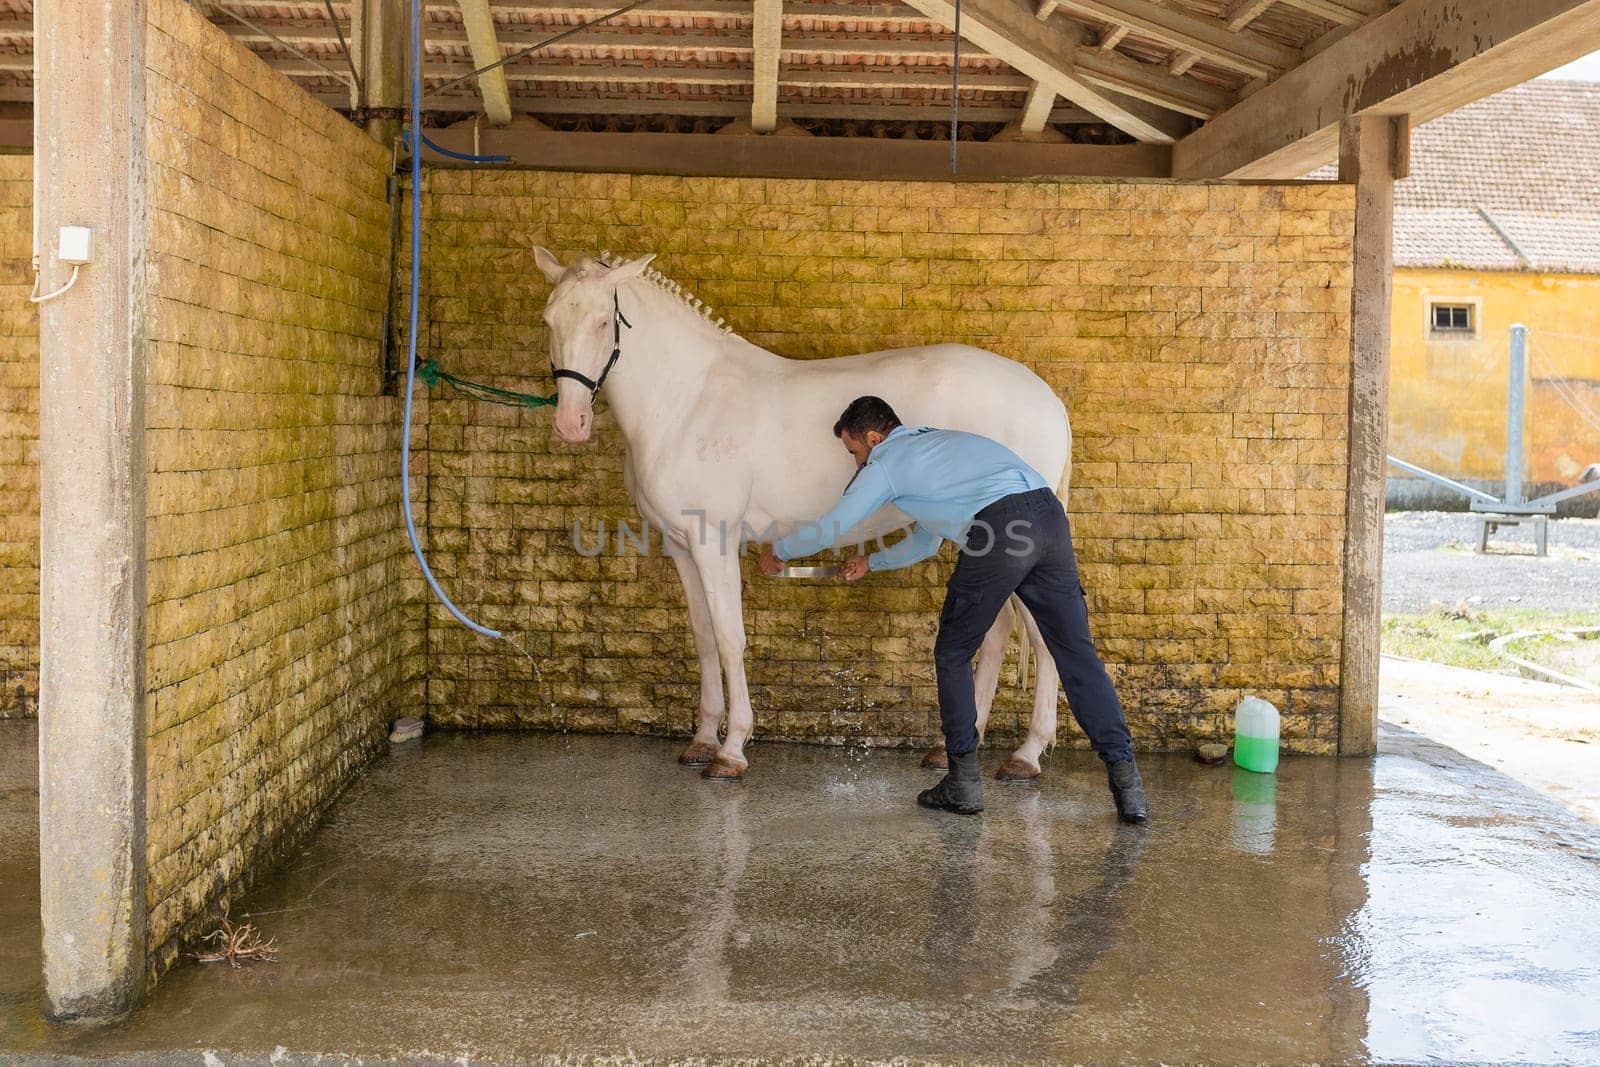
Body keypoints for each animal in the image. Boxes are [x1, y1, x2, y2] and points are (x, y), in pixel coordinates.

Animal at [537, 251, 1075, 783]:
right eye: (549, 319)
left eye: (602, 321)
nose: (569, 423)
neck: (688, 401)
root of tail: (1047, 398)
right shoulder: (681, 546)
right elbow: (705, 639)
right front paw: (702, 739)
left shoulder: (713, 540)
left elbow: (730, 638)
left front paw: (730, 750)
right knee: (998, 631)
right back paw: (956, 748)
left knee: (1044, 637)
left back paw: (1026, 754)